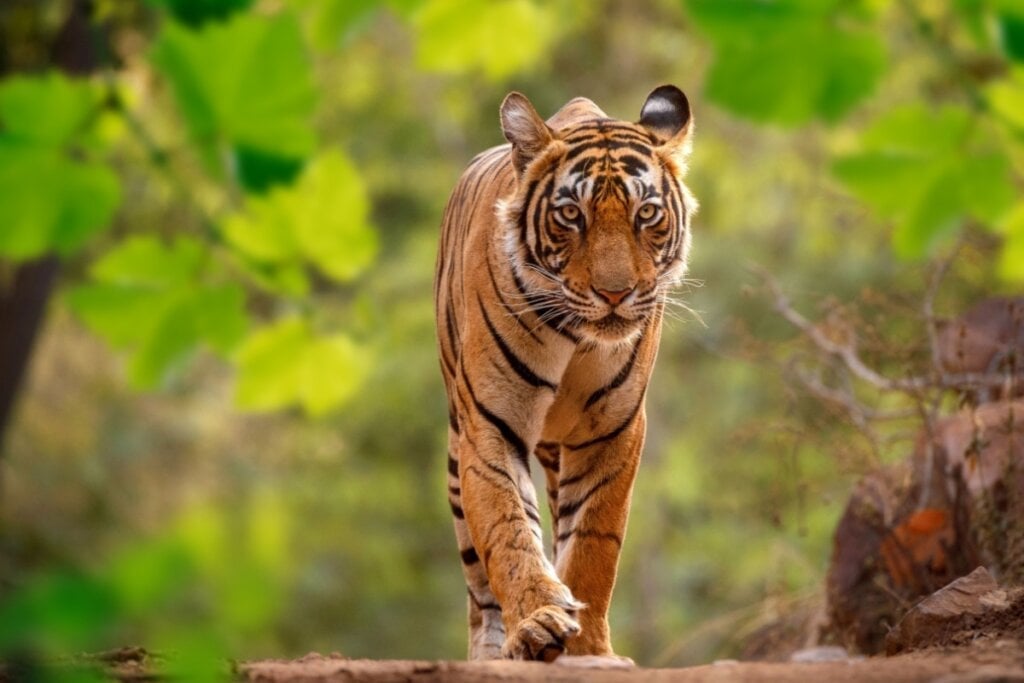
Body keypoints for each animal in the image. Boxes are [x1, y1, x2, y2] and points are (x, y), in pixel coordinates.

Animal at [434, 85, 696, 662]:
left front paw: (591, 648)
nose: (616, 294)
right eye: (571, 214)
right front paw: (537, 623)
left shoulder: (614, 430)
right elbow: (508, 529)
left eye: (647, 213)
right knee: (479, 584)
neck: (577, 338)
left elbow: (594, 544)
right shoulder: (490, 423)